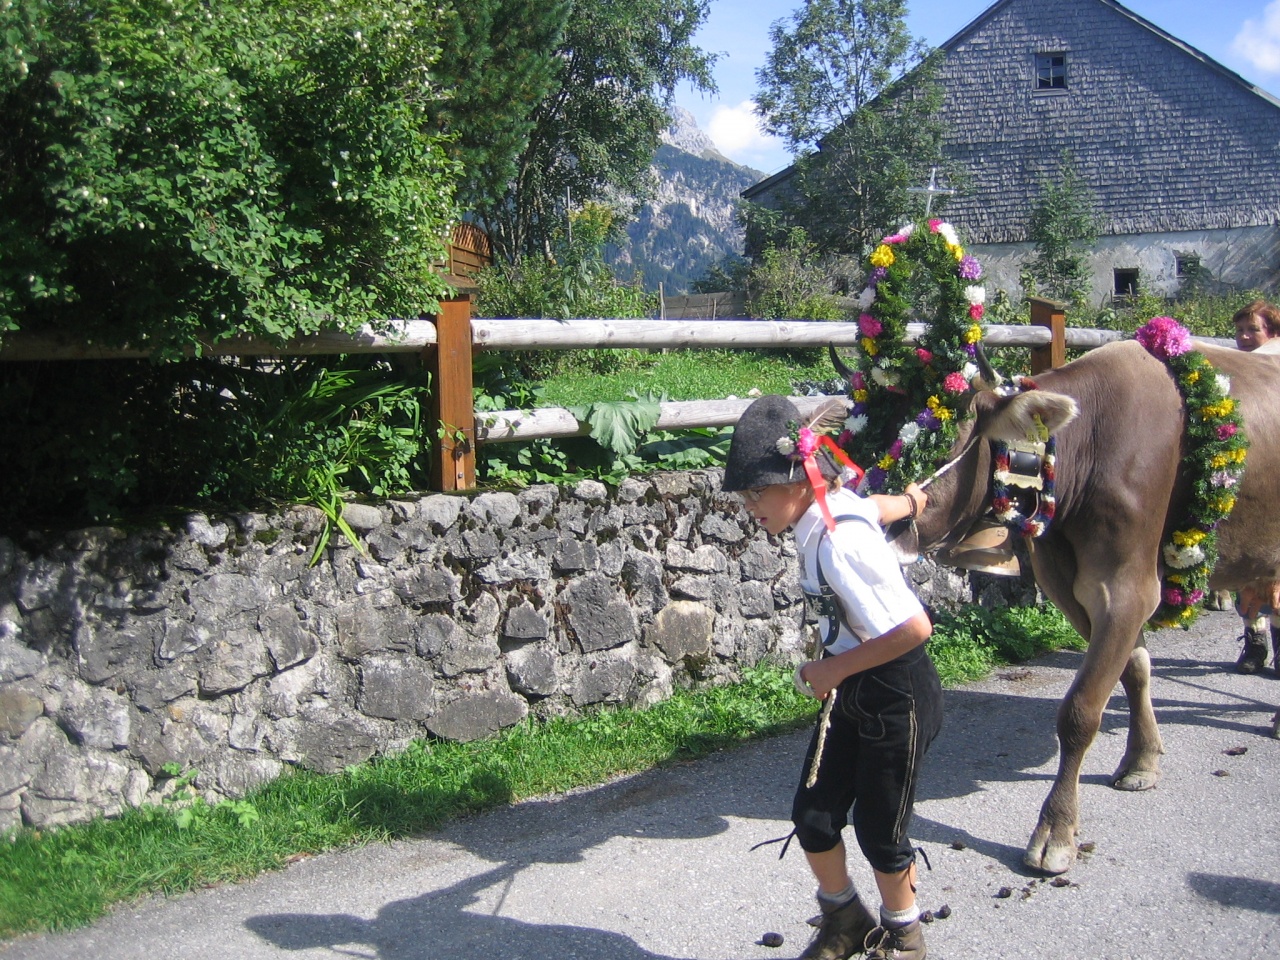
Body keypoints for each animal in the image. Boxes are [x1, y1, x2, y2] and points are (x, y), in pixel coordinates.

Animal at [899, 338, 1280, 874]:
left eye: (940, 440)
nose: (882, 519)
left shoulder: (1128, 587)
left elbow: (1081, 711)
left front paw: (1055, 831)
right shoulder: (1070, 586)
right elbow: (1134, 670)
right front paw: (1142, 760)